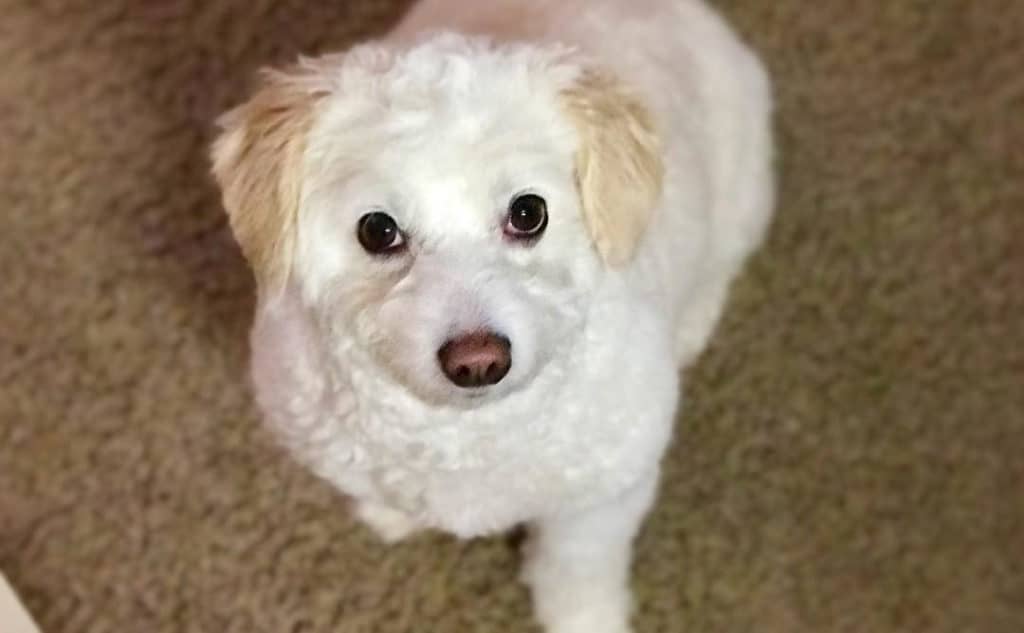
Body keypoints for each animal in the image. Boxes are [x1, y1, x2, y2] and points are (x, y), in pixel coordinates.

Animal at [207, 1, 770, 630]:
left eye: (529, 213)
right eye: (377, 230)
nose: (478, 360)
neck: (463, 433)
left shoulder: (599, 503)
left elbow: (575, 572)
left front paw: (585, 619)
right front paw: (394, 513)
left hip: (745, 194)